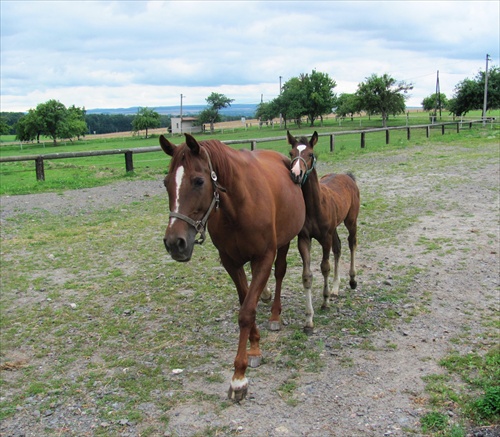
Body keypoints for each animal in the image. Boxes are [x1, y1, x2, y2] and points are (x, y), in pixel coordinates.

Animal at [160, 134, 304, 402]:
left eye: (199, 181)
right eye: (166, 183)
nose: (175, 243)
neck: (239, 205)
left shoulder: (263, 258)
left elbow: (246, 312)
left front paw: (239, 377)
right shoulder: (230, 261)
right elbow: (245, 301)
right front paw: (254, 348)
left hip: (284, 242)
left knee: (280, 273)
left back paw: (275, 314)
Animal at [290, 131, 360, 332]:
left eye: (310, 154)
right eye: (291, 153)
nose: (296, 174)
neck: (315, 206)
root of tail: (347, 176)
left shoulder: (325, 238)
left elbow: (325, 267)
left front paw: (325, 301)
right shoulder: (304, 239)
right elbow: (307, 276)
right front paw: (308, 320)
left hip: (351, 220)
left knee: (352, 243)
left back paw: (352, 280)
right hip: (335, 228)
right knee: (339, 247)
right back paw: (336, 289)